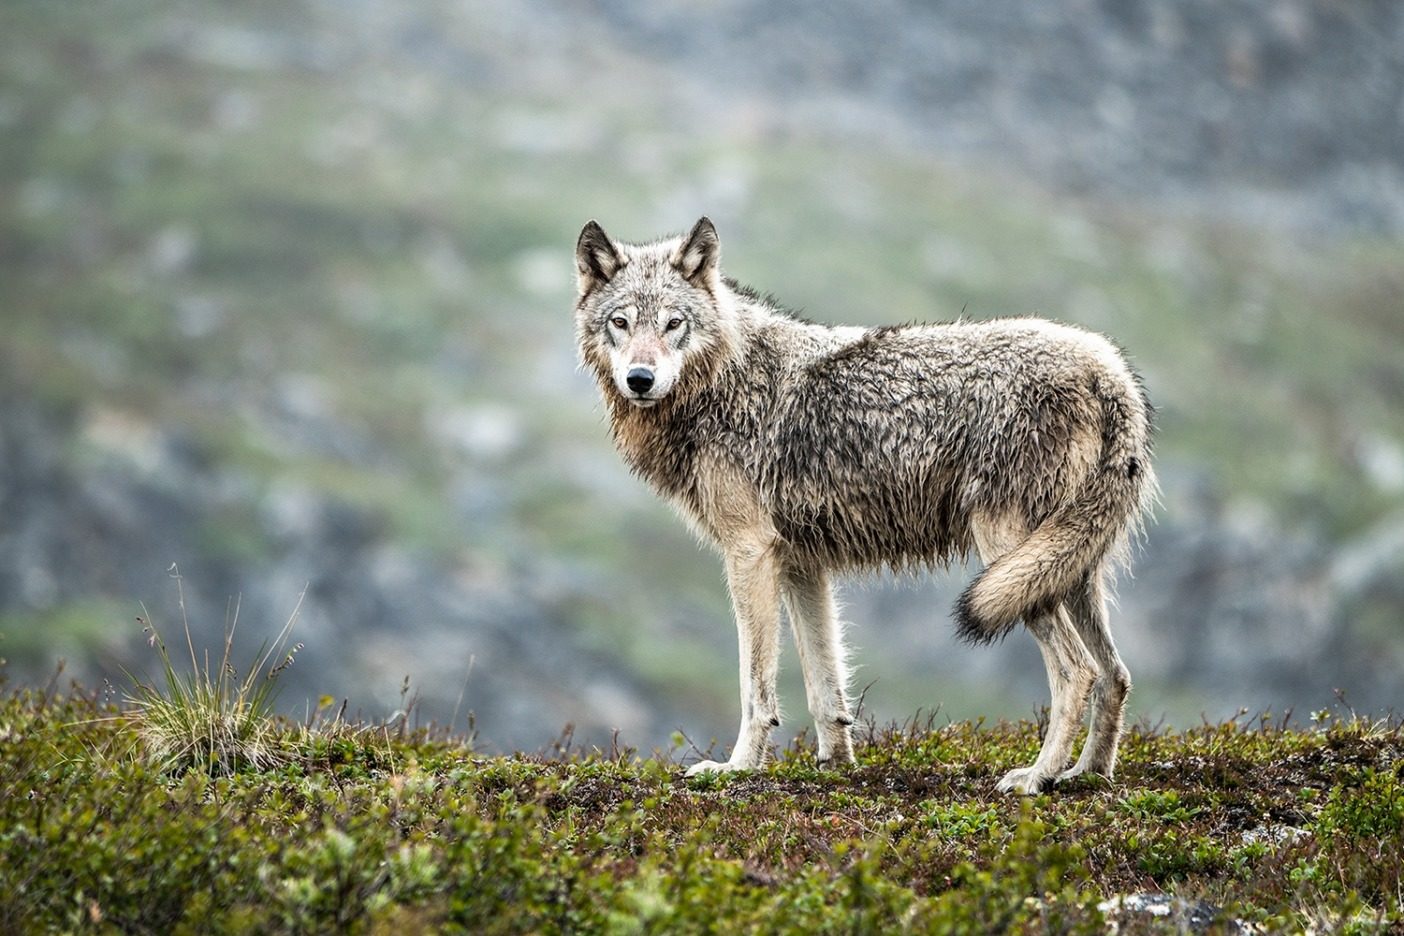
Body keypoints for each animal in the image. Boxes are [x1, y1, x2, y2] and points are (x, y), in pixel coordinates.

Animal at [567, 217, 1151, 791]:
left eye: (673, 324)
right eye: (621, 323)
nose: (640, 379)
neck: (724, 381)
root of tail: (1110, 371)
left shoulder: (749, 554)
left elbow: (755, 686)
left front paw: (737, 768)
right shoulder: (802, 564)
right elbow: (826, 688)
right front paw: (836, 766)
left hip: (1009, 561)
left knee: (1078, 671)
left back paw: (1037, 776)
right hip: (1063, 569)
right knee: (1116, 675)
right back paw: (1088, 774)